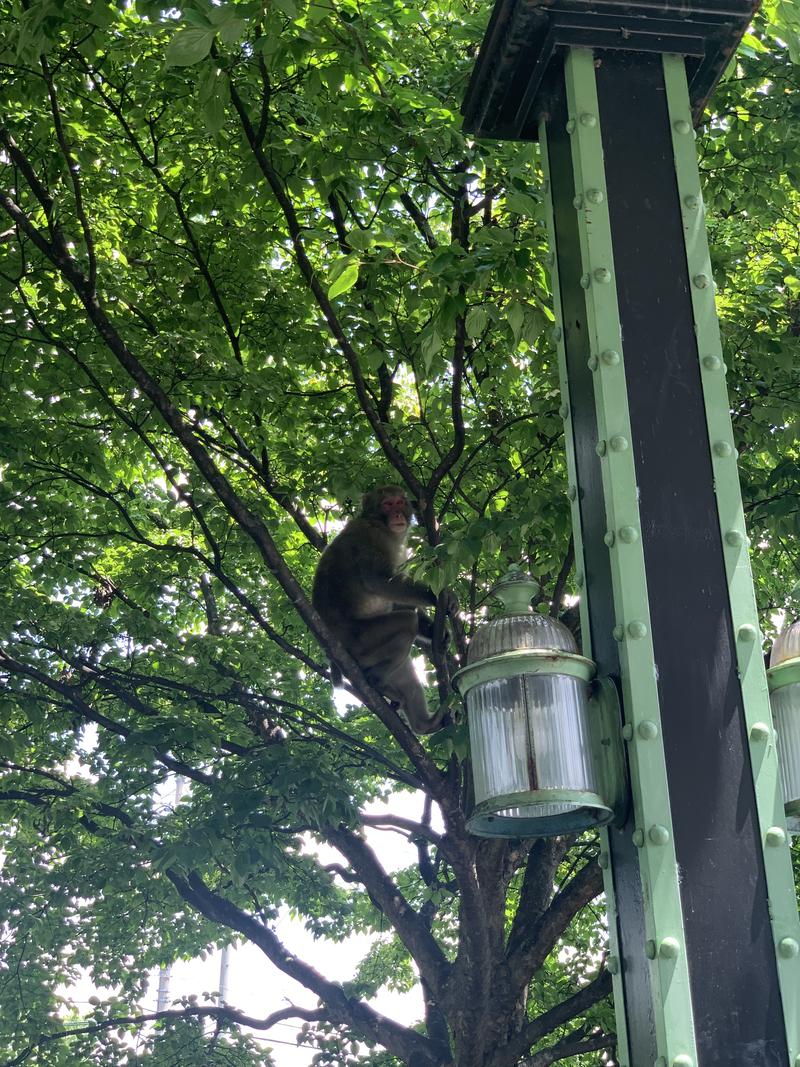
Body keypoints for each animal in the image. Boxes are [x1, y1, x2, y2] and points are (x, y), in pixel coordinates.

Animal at [313, 486, 456, 729]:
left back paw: (425, 723)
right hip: (359, 642)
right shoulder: (372, 536)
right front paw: (434, 597)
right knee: (407, 622)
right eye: (387, 504)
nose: (397, 514)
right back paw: (376, 679)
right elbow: (380, 581)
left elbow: (397, 599)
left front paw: (437, 632)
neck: (378, 522)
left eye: (399, 502)